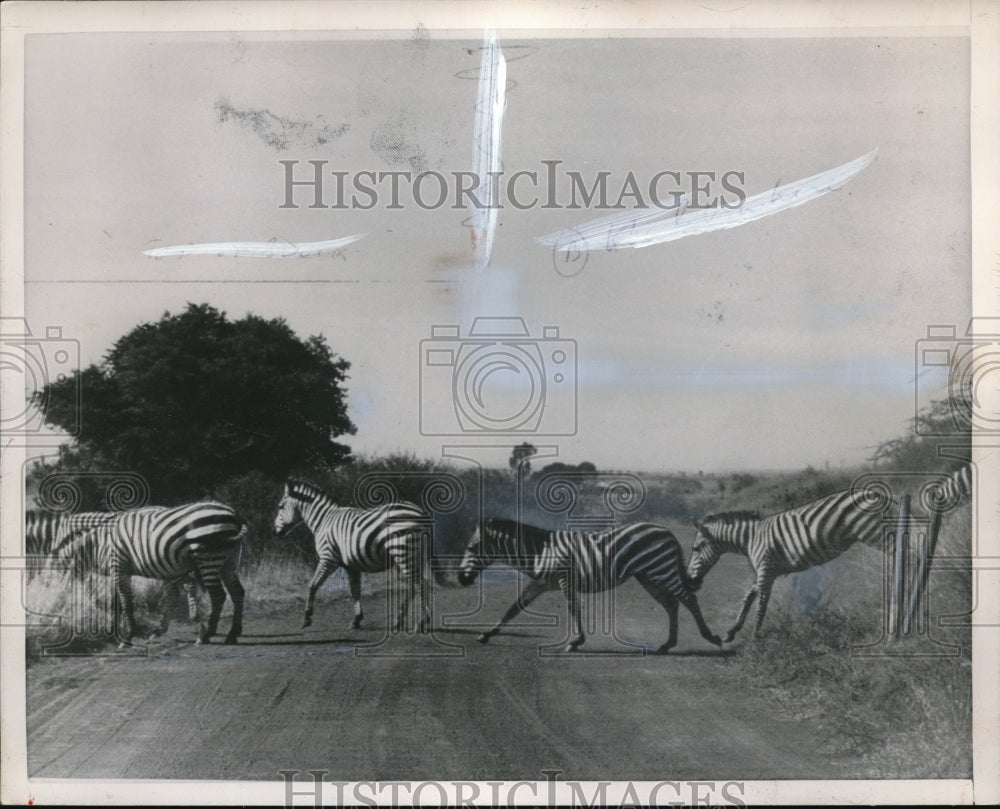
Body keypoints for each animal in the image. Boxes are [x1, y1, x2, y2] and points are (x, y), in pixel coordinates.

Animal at [27, 508, 203, 620]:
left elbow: (84, 587)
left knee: (185, 583)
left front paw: (96, 607)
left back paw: (190, 614)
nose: (45, 607)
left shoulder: (78, 564)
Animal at [53, 498, 246, 644]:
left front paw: (128, 637)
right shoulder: (120, 572)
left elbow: (126, 602)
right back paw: (232, 634)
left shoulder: (119, 567)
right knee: (237, 592)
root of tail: (234, 515)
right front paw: (115, 631)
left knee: (218, 595)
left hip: (207, 557)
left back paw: (206, 634)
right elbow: (117, 602)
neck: (100, 544)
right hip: (228, 560)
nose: (57, 615)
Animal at [274, 480, 434, 632]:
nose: (276, 532)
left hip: (403, 551)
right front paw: (356, 620)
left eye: (281, 507)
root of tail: (419, 511)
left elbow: (313, 585)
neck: (323, 521)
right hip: (410, 555)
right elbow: (355, 590)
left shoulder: (328, 558)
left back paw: (420, 622)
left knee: (418, 584)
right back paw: (400, 621)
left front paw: (306, 618)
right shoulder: (351, 565)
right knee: (415, 584)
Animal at [458, 520, 724, 652]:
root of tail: (667, 531)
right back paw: (667, 645)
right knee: (671, 604)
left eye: (471, 548)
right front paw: (486, 634)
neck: (539, 552)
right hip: (648, 576)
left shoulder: (565, 580)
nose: (461, 579)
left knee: (688, 599)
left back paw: (710, 637)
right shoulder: (539, 583)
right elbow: (513, 609)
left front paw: (576, 642)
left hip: (661, 569)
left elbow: (573, 609)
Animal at [688, 464, 976, 640]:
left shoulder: (766, 569)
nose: (691, 580)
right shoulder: (765, 572)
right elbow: (748, 597)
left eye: (696, 548)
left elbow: (760, 603)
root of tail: (879, 494)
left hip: (875, 533)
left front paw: (755, 636)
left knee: (910, 553)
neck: (751, 537)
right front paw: (732, 631)